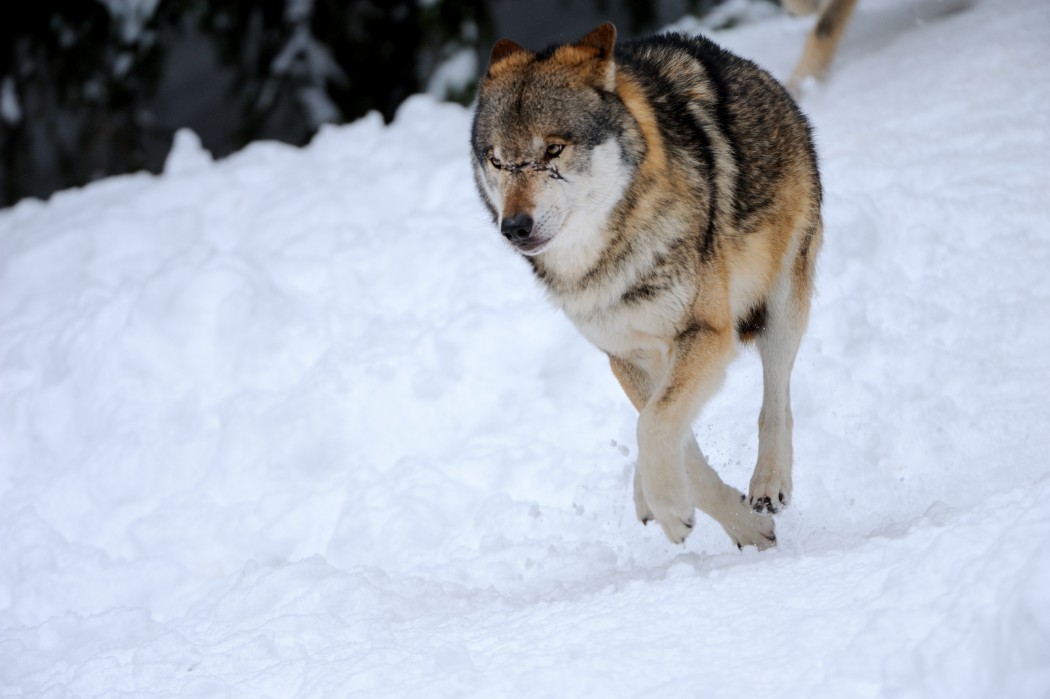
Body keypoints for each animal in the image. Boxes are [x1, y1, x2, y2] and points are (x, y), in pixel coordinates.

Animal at [471, 22, 822, 549]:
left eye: (553, 149)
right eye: (497, 160)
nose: (513, 227)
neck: (609, 257)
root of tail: (756, 72)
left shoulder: (706, 333)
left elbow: (656, 424)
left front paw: (677, 509)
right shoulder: (626, 357)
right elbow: (670, 435)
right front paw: (738, 526)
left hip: (779, 308)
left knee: (775, 399)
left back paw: (768, 484)